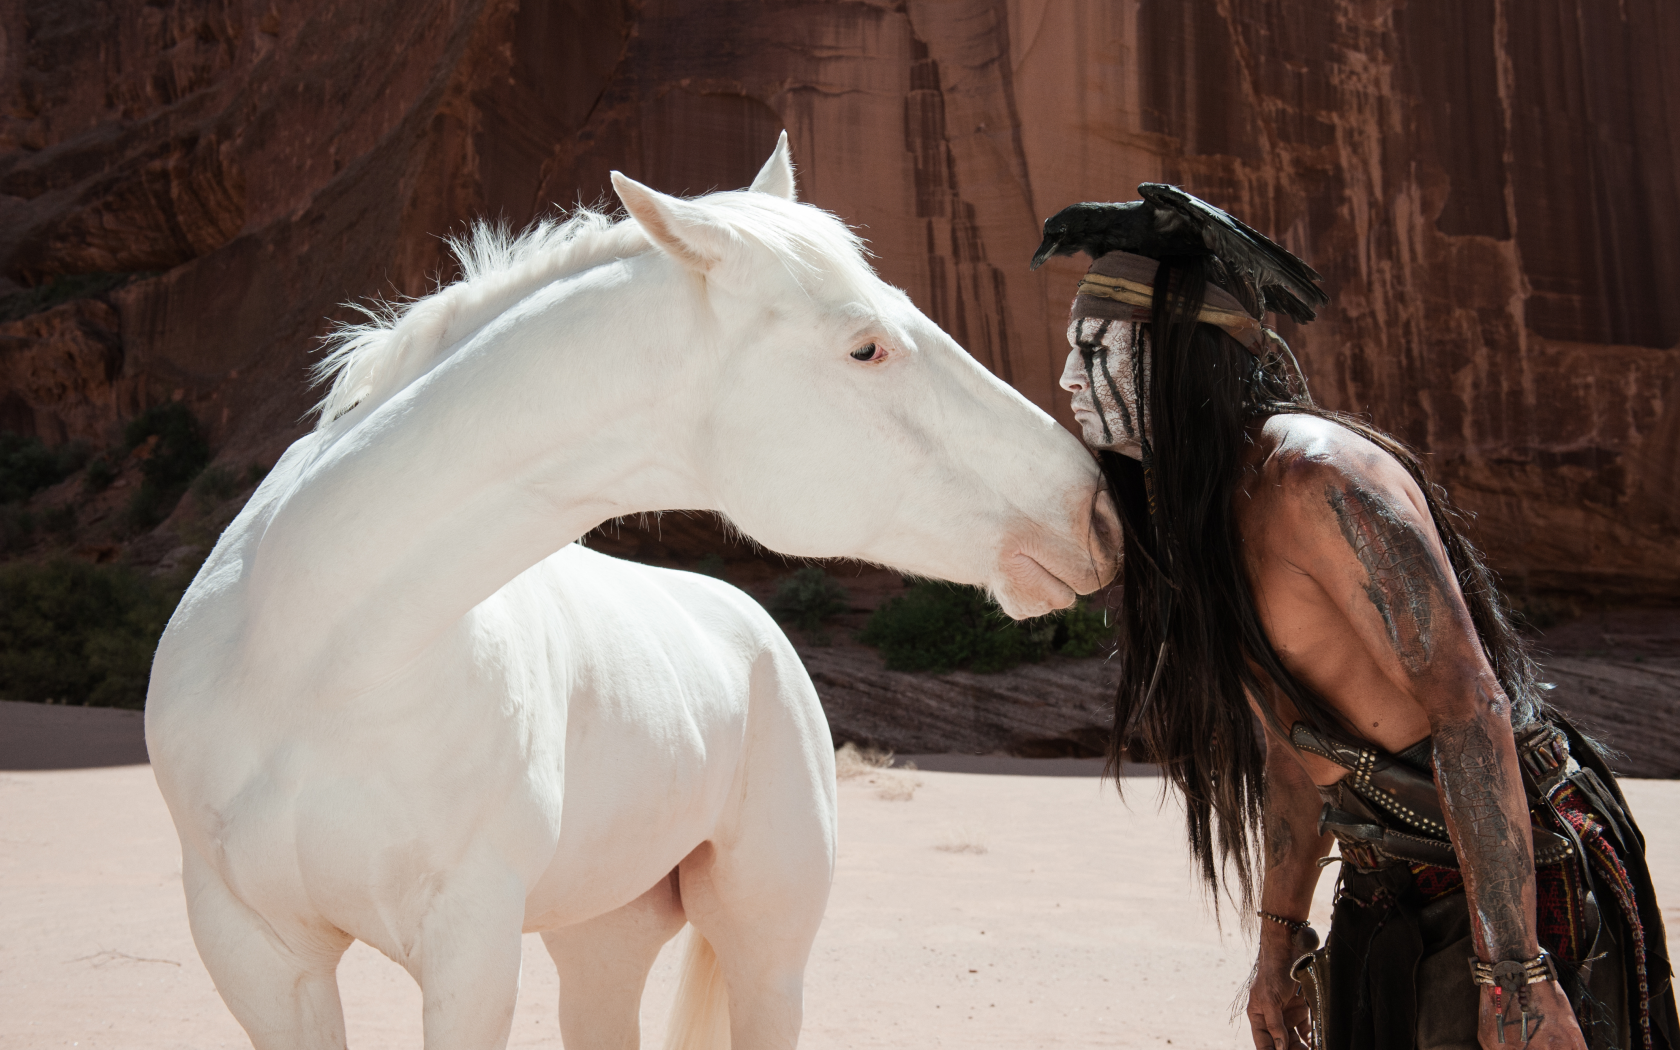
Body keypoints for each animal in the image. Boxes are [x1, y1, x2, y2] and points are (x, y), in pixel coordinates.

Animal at [144, 136, 1115, 1048]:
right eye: (865, 345)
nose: (1094, 507)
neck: (311, 660)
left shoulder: (469, 949)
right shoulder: (257, 955)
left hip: (765, 949)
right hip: (601, 936)